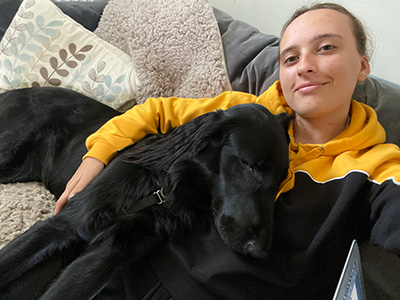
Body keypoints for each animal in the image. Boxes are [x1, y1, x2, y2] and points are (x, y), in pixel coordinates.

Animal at [0, 86, 290, 298]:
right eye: (250, 164)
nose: (260, 252)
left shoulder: (108, 254)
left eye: (281, 182)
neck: (160, 193)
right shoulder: (65, 223)